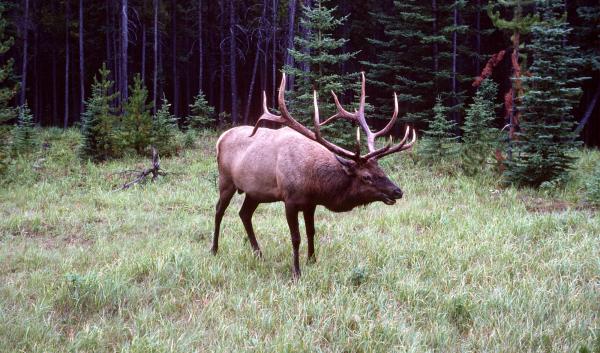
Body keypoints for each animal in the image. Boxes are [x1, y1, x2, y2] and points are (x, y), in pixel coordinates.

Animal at [213, 72, 414, 278]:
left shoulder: (311, 203)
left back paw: (259, 254)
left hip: (254, 192)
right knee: (219, 209)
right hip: (226, 181)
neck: (315, 183)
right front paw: (296, 271)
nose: (397, 191)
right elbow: (295, 237)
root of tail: (221, 138)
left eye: (381, 169)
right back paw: (215, 249)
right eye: (366, 176)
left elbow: (311, 231)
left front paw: (312, 260)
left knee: (244, 214)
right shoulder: (290, 200)